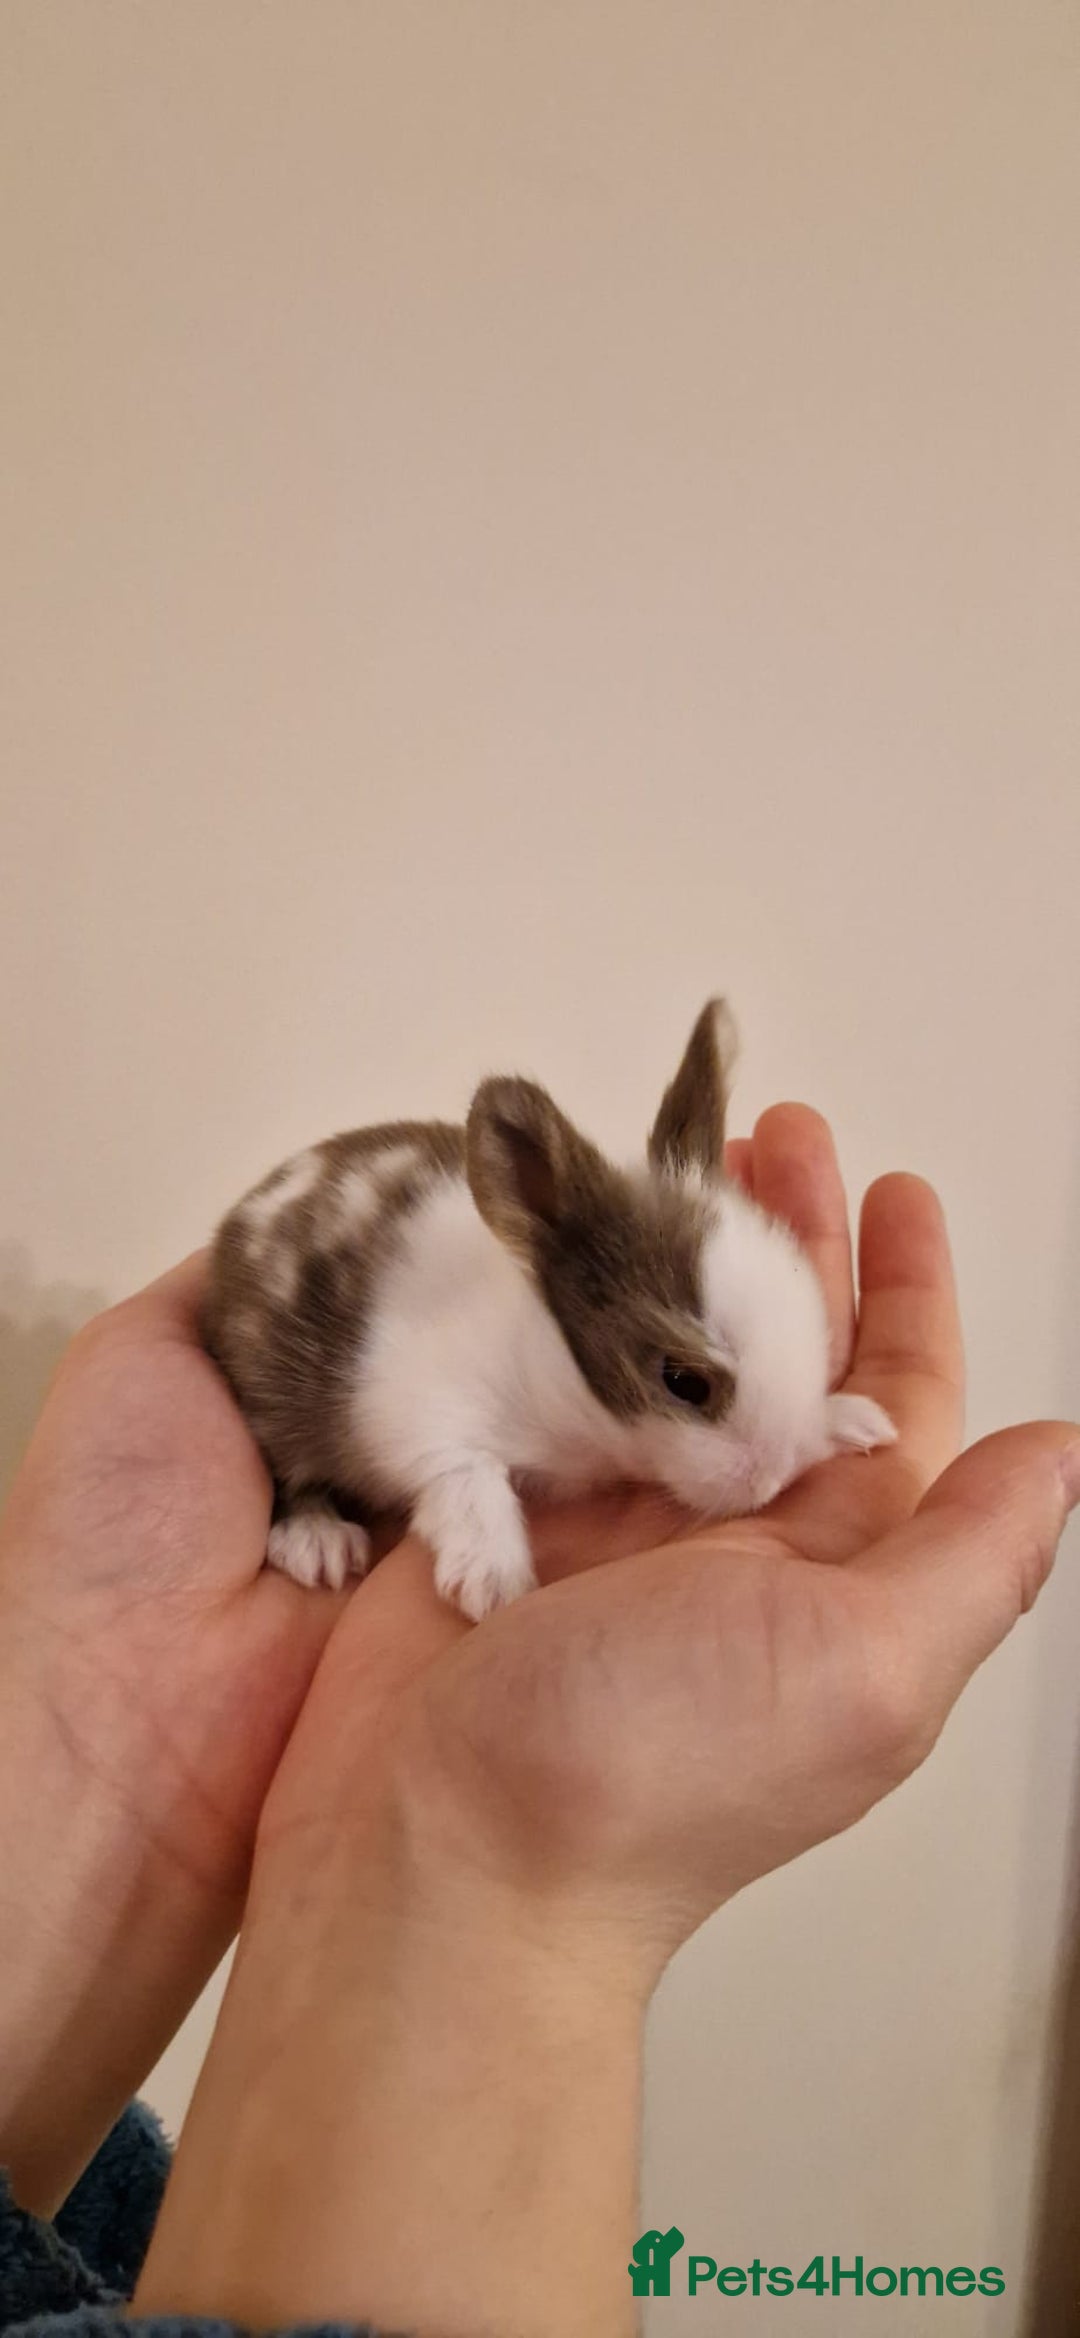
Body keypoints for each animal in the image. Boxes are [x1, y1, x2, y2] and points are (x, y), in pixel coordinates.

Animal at [201, 999, 896, 1621]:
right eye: (684, 1381)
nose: (772, 1478)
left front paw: (853, 1421)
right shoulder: (412, 1408)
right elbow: (467, 1475)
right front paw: (491, 1581)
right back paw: (318, 1541)